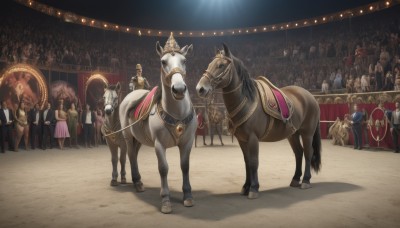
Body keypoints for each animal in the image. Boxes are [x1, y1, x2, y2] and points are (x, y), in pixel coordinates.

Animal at [119, 34, 197, 214]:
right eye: (163, 61)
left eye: (184, 60)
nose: (179, 89)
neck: (176, 113)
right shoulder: (159, 144)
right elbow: (163, 168)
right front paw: (166, 200)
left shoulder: (187, 142)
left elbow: (185, 166)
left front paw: (188, 196)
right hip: (128, 136)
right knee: (131, 155)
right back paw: (137, 182)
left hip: (139, 138)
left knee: (135, 153)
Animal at [195, 44, 320, 198]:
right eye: (209, 64)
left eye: (221, 65)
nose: (200, 88)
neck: (247, 100)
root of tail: (310, 97)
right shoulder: (242, 140)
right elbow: (247, 162)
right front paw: (246, 186)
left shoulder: (253, 138)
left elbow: (254, 162)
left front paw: (254, 188)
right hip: (293, 134)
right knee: (299, 152)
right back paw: (296, 179)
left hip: (307, 133)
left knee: (308, 152)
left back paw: (306, 180)